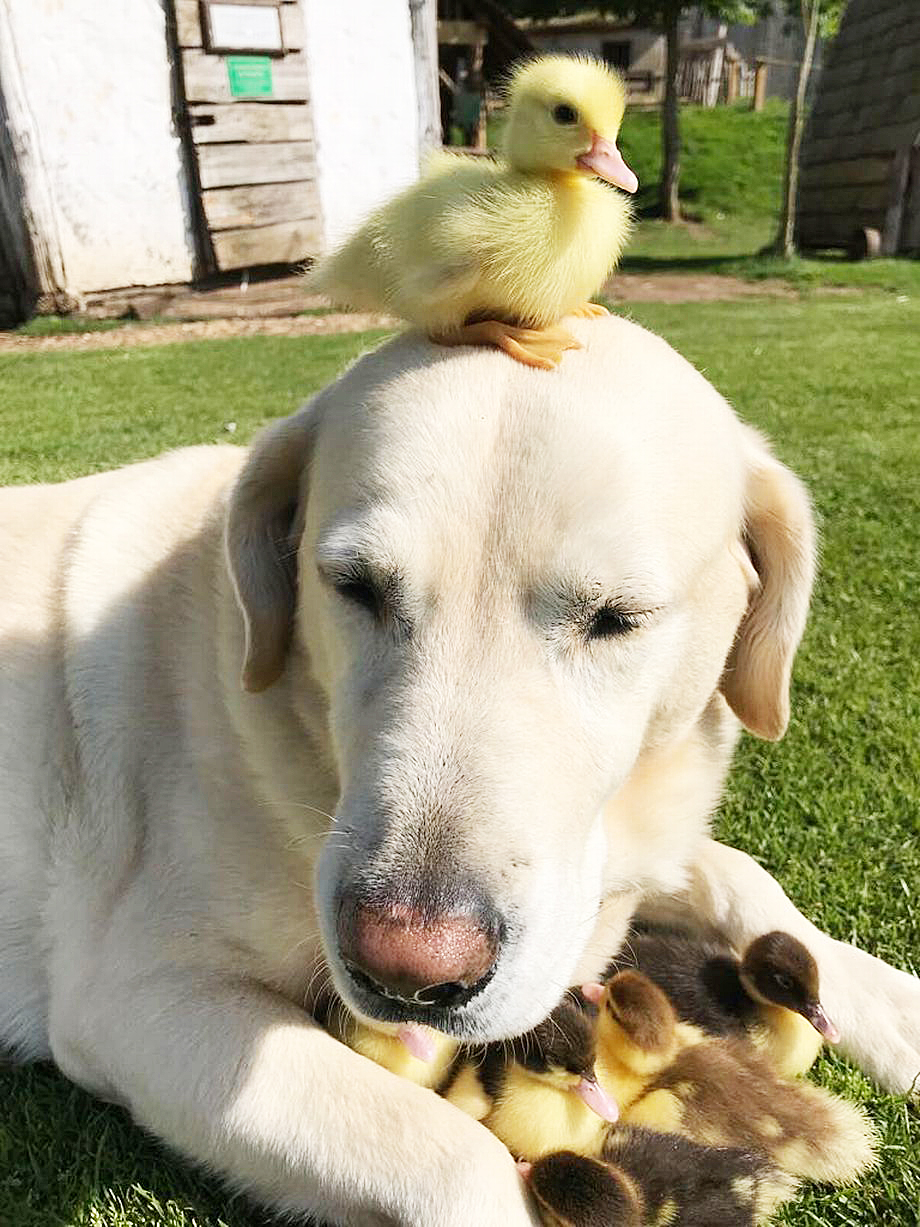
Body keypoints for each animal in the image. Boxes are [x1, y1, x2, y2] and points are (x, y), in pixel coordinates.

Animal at [1, 319, 920, 1227]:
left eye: (617, 617)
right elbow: (451, 1158)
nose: (408, 973)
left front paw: (893, 1003)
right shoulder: (139, 997)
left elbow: (740, 875)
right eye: (354, 587)